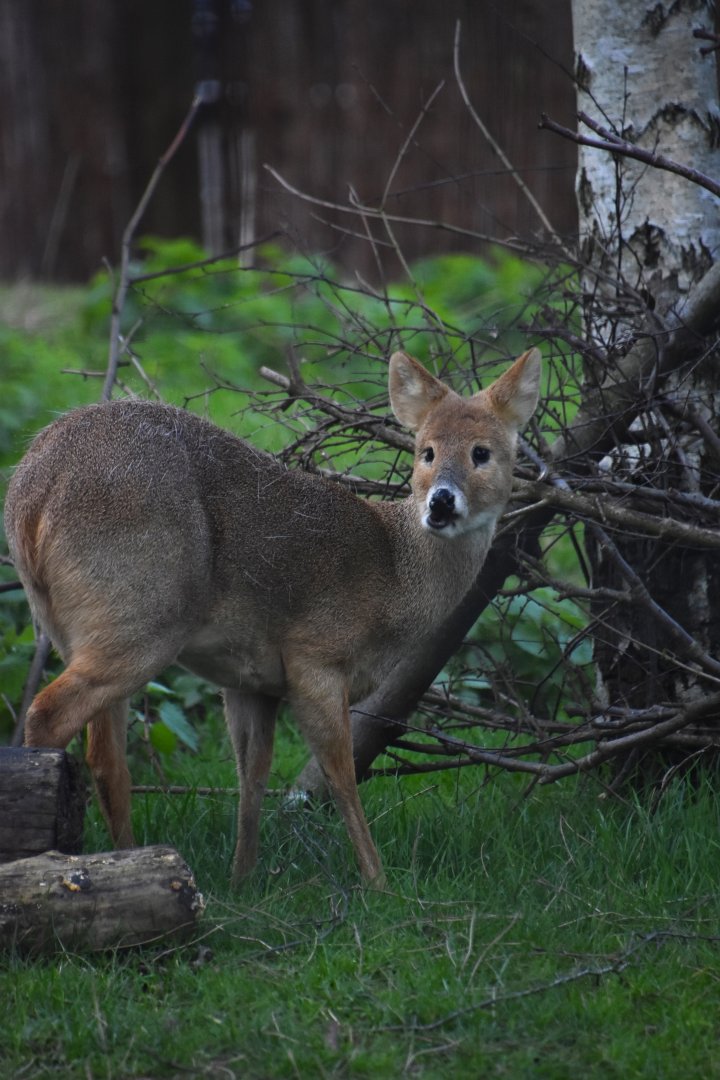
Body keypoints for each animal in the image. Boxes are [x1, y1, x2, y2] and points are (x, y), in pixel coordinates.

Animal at [4, 347, 541, 887]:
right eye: (426, 452)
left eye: (481, 452)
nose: (441, 502)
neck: (394, 574)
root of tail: (31, 499)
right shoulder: (315, 657)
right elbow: (339, 774)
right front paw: (378, 883)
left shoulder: (250, 680)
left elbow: (252, 776)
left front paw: (242, 879)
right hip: (140, 615)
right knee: (49, 713)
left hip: (87, 629)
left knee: (107, 760)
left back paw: (128, 862)